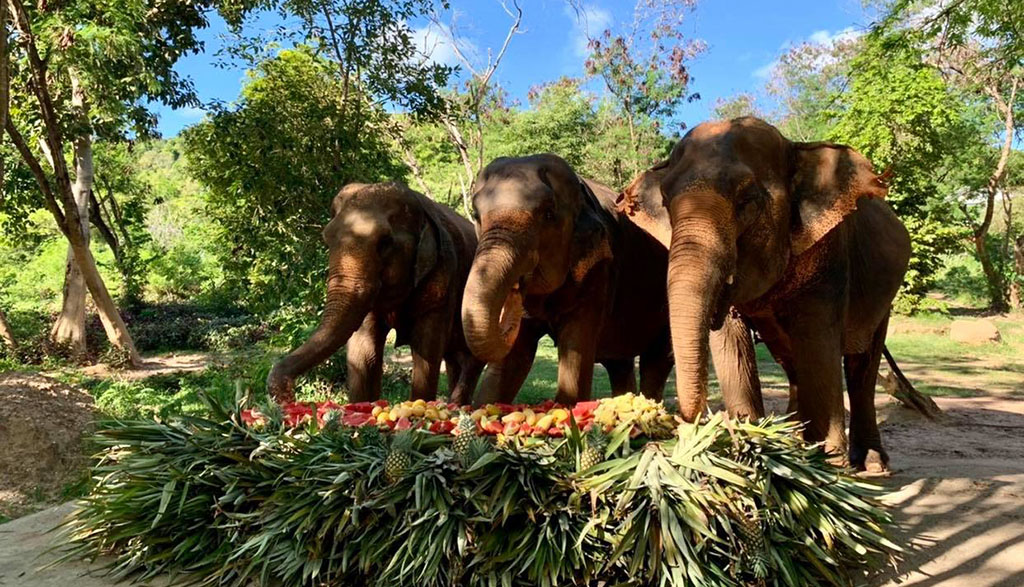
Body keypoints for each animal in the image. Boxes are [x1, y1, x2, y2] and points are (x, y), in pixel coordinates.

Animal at [268, 182, 483, 403]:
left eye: (385, 242)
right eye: (326, 240)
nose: (288, 395)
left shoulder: (444, 278)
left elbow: (426, 353)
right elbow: (363, 353)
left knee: (470, 361)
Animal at [462, 153, 671, 405]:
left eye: (548, 214)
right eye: (476, 215)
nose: (514, 291)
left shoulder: (600, 270)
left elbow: (575, 348)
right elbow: (514, 359)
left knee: (656, 362)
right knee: (620, 364)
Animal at [618, 118, 909, 471]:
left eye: (747, 200)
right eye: (664, 201)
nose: (684, 428)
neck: (794, 148)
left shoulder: (829, 256)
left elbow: (817, 342)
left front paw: (826, 462)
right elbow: (732, 344)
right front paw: (750, 444)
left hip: (883, 300)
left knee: (860, 366)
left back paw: (871, 463)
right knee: (793, 362)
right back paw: (794, 439)